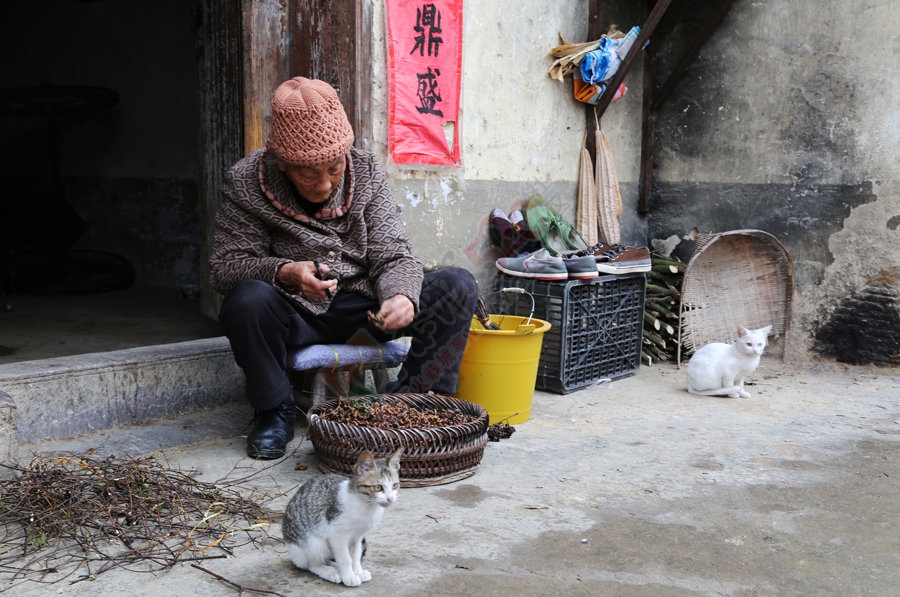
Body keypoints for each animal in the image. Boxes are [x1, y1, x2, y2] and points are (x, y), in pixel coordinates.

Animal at [284, 450, 404, 584]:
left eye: (395, 486)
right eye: (378, 487)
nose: (390, 498)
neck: (365, 505)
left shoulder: (357, 536)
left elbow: (355, 555)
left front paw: (358, 571)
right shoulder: (336, 534)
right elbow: (345, 558)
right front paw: (349, 576)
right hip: (312, 543)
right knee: (310, 564)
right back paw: (329, 572)